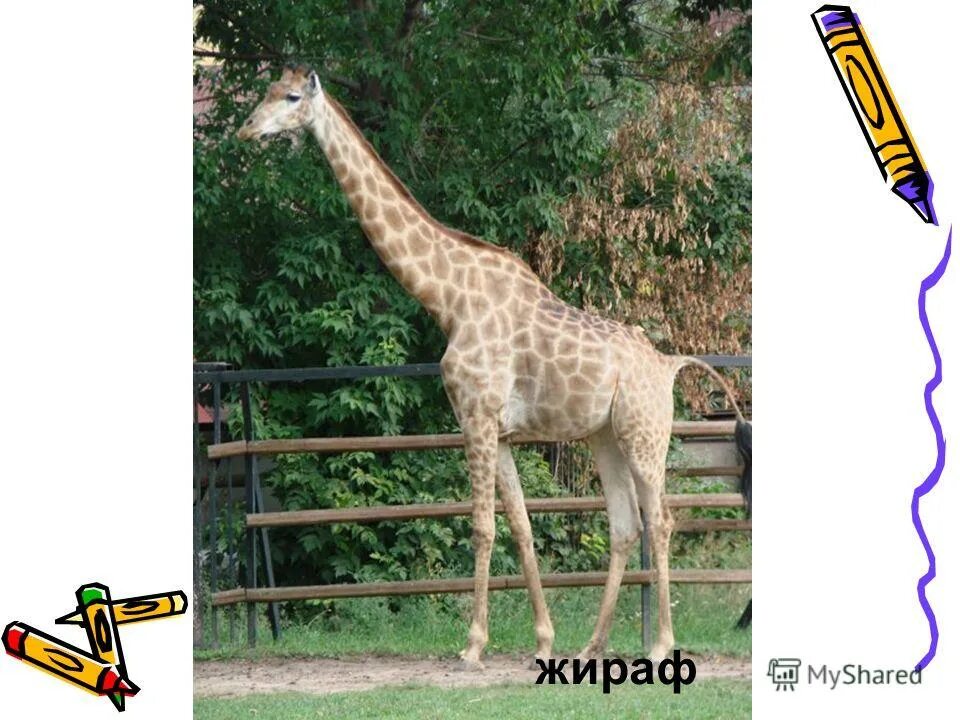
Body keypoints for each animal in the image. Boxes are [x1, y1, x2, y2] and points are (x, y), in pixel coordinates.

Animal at [237, 64, 746, 668]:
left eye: (291, 97)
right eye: (265, 92)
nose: (246, 130)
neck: (447, 299)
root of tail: (668, 364)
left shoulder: (475, 417)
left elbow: (481, 525)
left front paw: (473, 644)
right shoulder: (498, 431)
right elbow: (521, 527)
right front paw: (544, 638)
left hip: (646, 434)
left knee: (661, 520)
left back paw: (662, 644)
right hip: (605, 436)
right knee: (625, 526)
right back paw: (590, 645)